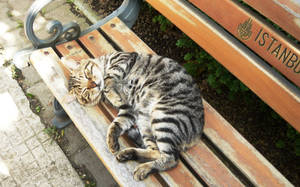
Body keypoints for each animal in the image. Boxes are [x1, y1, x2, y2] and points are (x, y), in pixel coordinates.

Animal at [62, 51, 204, 180]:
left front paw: (112, 95)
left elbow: (108, 79)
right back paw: (128, 155)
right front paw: (112, 142)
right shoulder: (129, 110)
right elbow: (115, 125)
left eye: (87, 74)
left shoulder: (123, 59)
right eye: (85, 92)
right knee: (158, 152)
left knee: (171, 159)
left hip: (164, 117)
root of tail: (198, 133)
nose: (94, 84)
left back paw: (142, 168)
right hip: (146, 122)